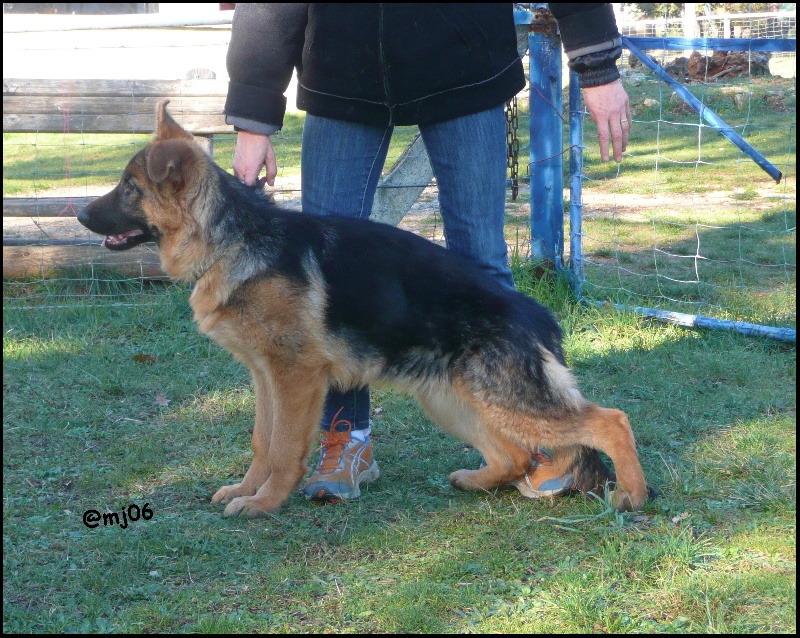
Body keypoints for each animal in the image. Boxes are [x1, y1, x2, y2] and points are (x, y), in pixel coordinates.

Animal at [76, 101, 648, 520]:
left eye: (130, 188)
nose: (79, 214)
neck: (232, 238)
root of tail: (538, 317)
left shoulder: (296, 377)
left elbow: (284, 448)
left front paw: (264, 503)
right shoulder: (266, 377)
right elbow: (262, 441)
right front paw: (246, 489)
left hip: (510, 401)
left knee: (609, 422)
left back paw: (633, 496)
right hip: (451, 401)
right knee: (515, 454)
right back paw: (477, 480)